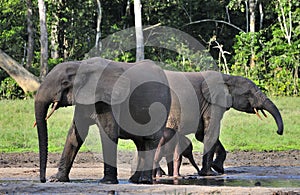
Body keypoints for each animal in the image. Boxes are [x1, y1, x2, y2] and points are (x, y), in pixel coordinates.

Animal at [33, 56, 170, 184]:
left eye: (65, 83)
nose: (43, 180)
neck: (81, 64)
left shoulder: (108, 100)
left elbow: (108, 132)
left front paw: (107, 182)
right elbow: (75, 133)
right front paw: (56, 179)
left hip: (160, 109)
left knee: (150, 140)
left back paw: (144, 181)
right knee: (140, 143)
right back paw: (134, 180)